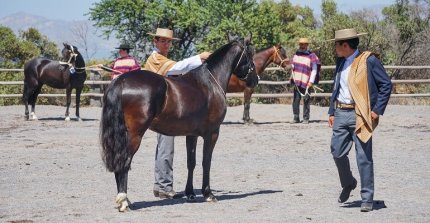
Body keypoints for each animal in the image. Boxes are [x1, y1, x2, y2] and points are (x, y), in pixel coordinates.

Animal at [100, 34, 258, 212]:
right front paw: (208, 194)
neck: (211, 83)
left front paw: (190, 193)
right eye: (250, 54)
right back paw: (124, 201)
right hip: (134, 135)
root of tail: (120, 82)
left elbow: (191, 162)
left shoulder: (192, 135)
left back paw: (127, 200)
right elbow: (206, 162)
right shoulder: (212, 133)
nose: (255, 79)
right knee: (124, 162)